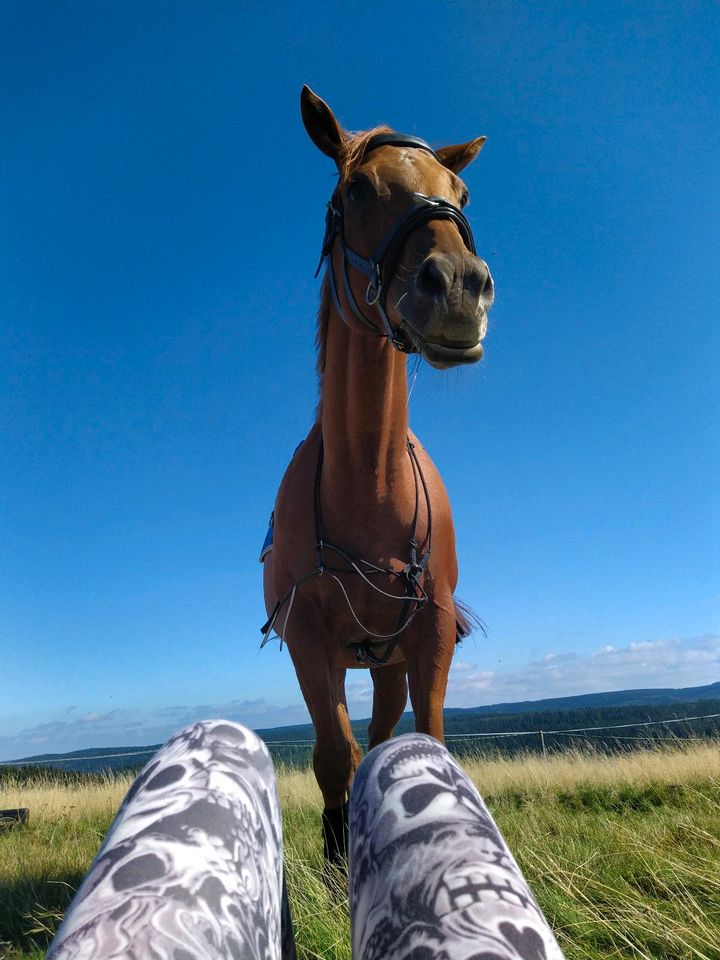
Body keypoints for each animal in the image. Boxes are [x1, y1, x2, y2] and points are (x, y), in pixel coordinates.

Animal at [262, 90, 492, 868]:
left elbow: (425, 743)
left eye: (461, 194)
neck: (369, 481)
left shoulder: (428, 635)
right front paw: (338, 864)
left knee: (385, 738)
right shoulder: (308, 641)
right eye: (357, 188)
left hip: (386, 664)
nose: (458, 288)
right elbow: (333, 755)